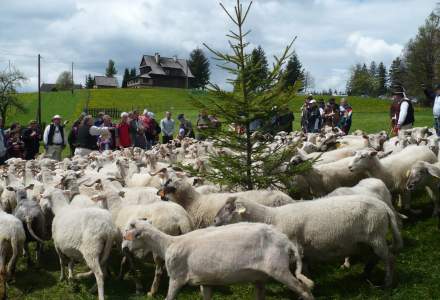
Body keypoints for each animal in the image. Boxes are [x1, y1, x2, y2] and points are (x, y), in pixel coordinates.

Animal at [122, 220, 314, 300]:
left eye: (128, 235)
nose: (123, 249)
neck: (167, 244)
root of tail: (286, 241)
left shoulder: (176, 278)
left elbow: (169, 298)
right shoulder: (206, 281)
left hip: (279, 268)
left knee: (305, 291)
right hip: (260, 277)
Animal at [213, 195, 402, 288]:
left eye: (228, 208)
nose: (214, 221)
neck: (271, 217)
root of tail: (384, 206)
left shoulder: (295, 246)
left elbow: (299, 268)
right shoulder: (302, 250)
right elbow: (304, 267)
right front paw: (309, 280)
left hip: (375, 236)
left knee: (390, 258)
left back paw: (387, 283)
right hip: (366, 241)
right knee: (376, 257)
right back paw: (367, 272)